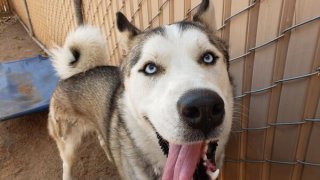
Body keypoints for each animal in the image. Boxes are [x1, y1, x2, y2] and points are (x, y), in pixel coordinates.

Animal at [48, 0, 232, 179]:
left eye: (208, 58)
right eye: (150, 68)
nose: (204, 107)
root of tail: (73, 75)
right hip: (68, 145)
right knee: (66, 165)